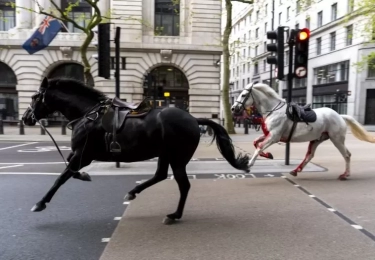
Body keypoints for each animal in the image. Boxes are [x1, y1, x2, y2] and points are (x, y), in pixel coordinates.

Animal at [21, 76, 250, 223]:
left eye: (34, 97)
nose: (25, 118)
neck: (88, 114)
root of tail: (194, 119)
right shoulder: (79, 154)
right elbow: (69, 170)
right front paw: (85, 176)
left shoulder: (83, 155)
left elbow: (62, 177)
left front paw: (40, 203)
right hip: (165, 154)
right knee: (160, 175)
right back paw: (133, 192)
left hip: (177, 158)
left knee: (183, 185)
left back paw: (174, 215)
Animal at [231, 82, 375, 180]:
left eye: (243, 95)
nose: (233, 108)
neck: (273, 110)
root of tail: (340, 116)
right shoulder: (269, 135)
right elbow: (256, 143)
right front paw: (268, 155)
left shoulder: (274, 137)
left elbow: (259, 147)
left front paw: (248, 165)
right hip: (317, 139)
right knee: (310, 155)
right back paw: (296, 170)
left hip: (337, 139)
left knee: (347, 155)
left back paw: (345, 174)